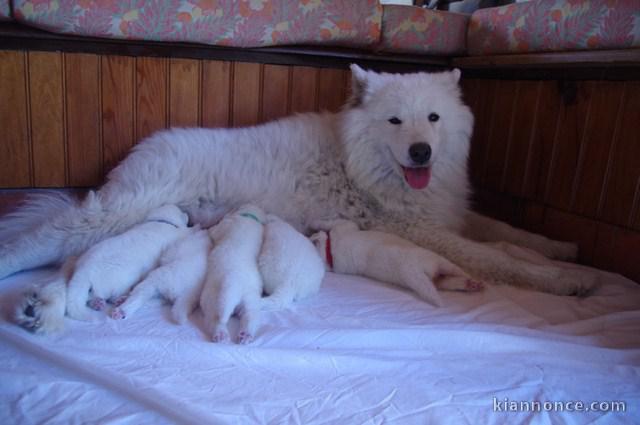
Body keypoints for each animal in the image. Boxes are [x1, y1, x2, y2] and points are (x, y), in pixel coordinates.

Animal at [312, 219, 484, 304]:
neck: (329, 251)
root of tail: (410, 269)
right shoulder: (344, 230)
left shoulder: (345, 230)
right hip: (435, 263)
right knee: (455, 273)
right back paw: (472, 281)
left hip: (438, 274)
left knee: (452, 279)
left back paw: (472, 284)